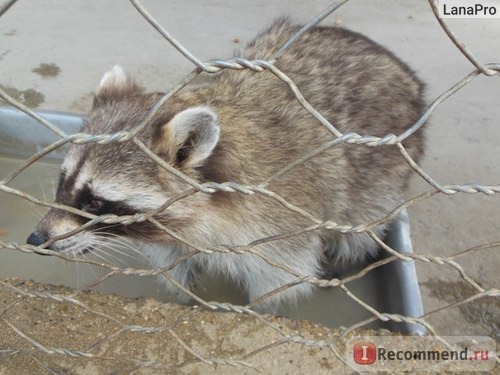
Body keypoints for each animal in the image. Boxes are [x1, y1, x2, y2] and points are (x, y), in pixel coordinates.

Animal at [26, 19, 426, 312]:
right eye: (63, 181)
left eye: (94, 201)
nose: (36, 240)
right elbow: (175, 263)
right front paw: (187, 298)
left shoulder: (279, 225)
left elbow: (280, 279)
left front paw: (254, 311)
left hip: (384, 174)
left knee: (359, 226)